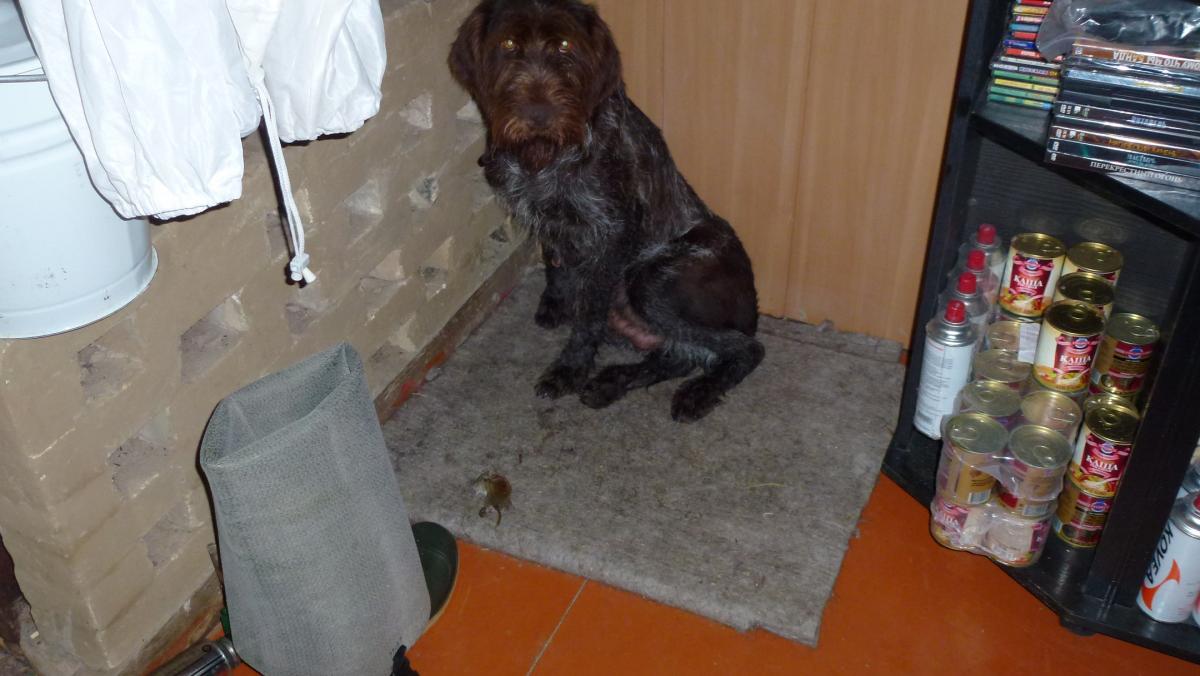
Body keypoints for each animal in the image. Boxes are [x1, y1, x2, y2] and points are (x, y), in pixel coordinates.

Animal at [449, 0, 764, 422]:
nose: (538, 116)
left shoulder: (613, 232)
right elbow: (554, 258)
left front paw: (569, 370)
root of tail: (754, 308)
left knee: (744, 348)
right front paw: (555, 301)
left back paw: (698, 392)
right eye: (508, 44)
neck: (546, 157)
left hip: (649, 281)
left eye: (565, 45)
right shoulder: (550, 219)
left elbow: (587, 319)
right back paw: (612, 382)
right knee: (678, 355)